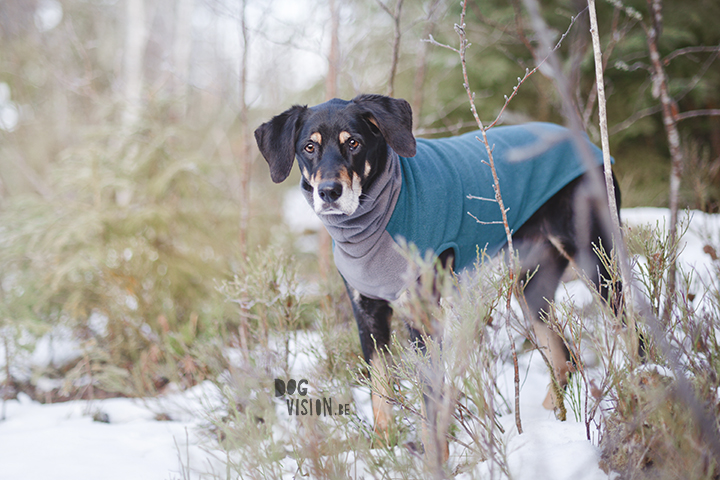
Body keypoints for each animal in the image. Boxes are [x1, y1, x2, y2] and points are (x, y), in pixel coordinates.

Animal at [256, 94, 620, 458]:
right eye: (309, 147)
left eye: (354, 143)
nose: (329, 192)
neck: (380, 215)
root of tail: (586, 142)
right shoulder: (367, 312)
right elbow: (379, 388)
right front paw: (384, 449)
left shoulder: (424, 315)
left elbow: (430, 397)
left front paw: (435, 458)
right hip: (530, 282)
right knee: (564, 357)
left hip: (596, 263)